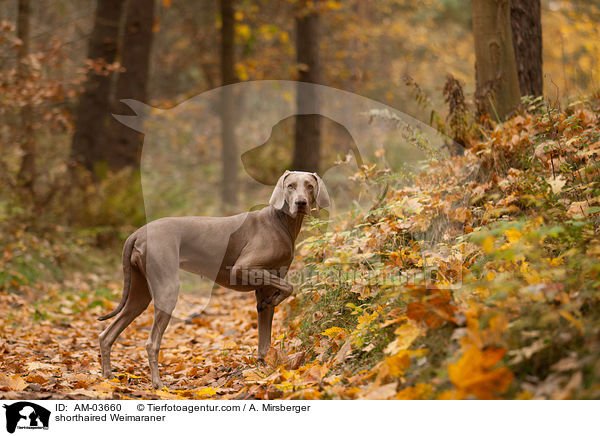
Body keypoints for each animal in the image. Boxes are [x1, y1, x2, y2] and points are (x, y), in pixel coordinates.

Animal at [100, 170, 330, 388]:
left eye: (309, 186)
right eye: (290, 186)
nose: (301, 203)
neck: (280, 222)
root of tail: (137, 233)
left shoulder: (264, 289)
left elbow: (265, 339)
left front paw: (263, 370)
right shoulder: (242, 268)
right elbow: (289, 287)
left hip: (139, 295)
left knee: (107, 334)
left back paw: (107, 376)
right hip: (167, 289)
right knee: (151, 343)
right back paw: (158, 384)